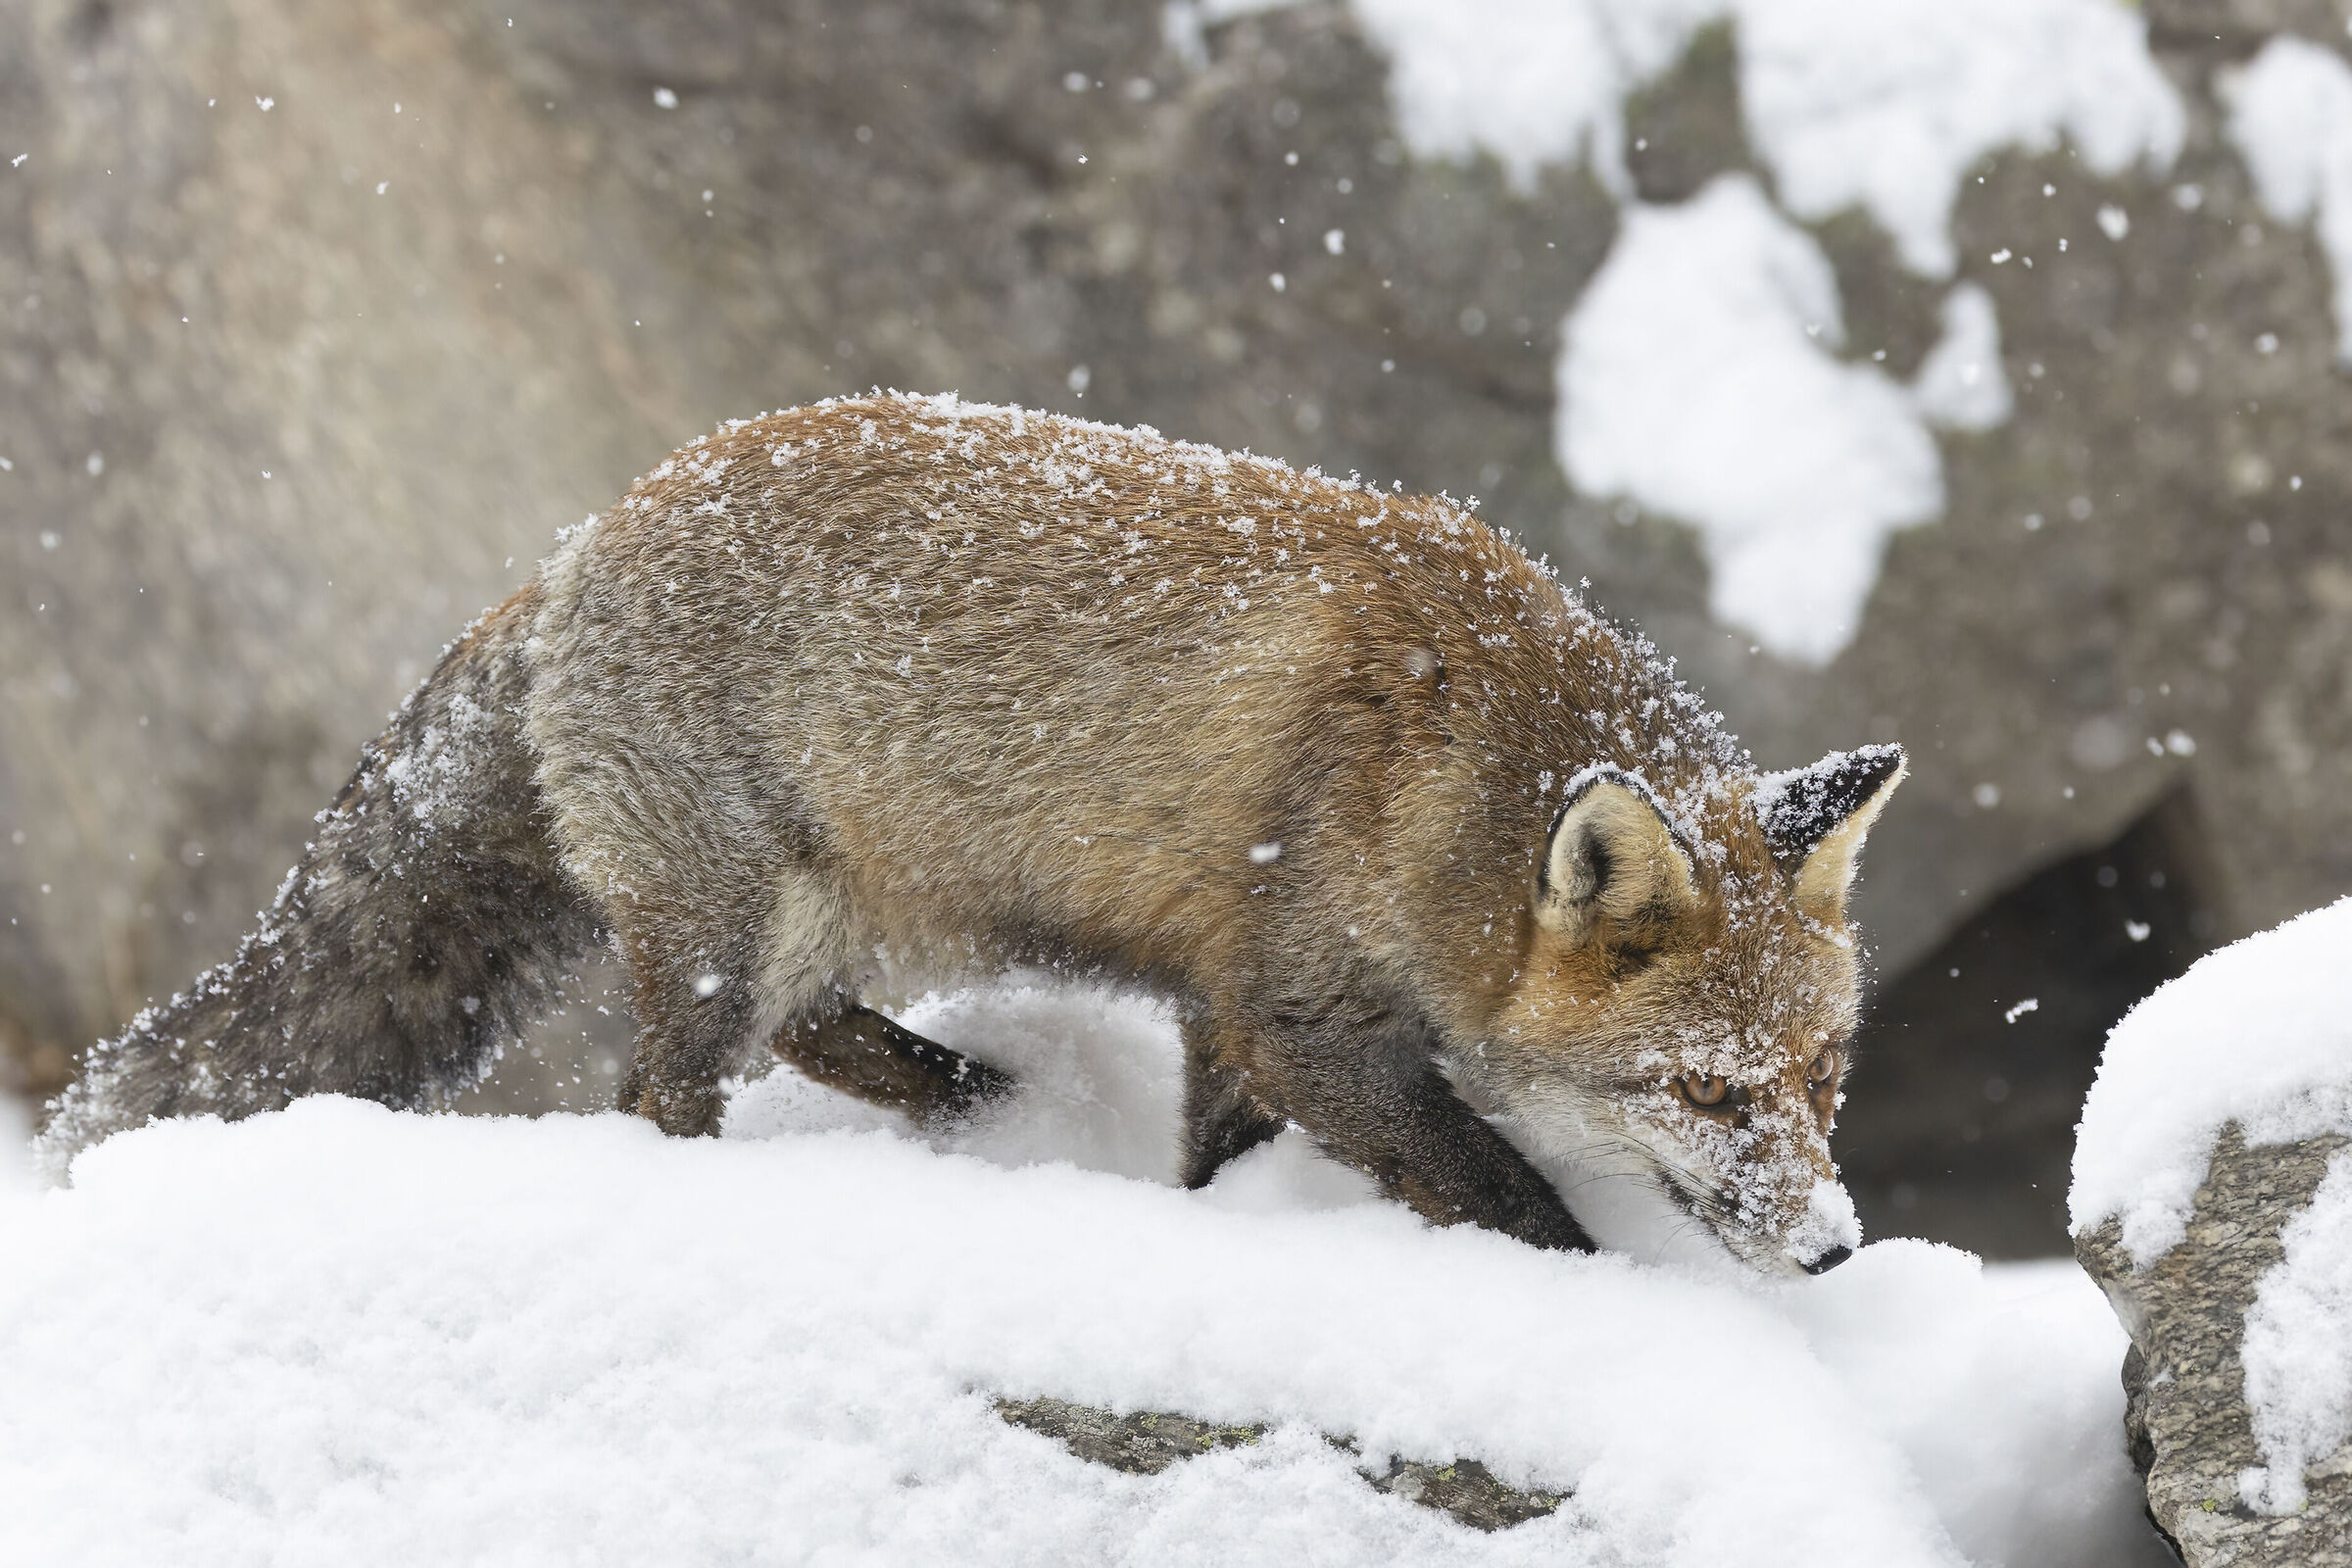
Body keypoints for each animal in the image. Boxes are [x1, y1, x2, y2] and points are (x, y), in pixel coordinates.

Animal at [35, 392, 1904, 1276]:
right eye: (1708, 1095)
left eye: (1822, 1079)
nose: (1832, 1250)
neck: (1449, 766)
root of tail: (575, 547)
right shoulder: (1298, 1002)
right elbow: (1510, 1195)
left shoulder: (1225, 998)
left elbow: (1215, 1157)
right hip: (721, 927)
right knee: (663, 1091)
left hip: (845, 910)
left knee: (812, 1031)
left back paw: (972, 1099)